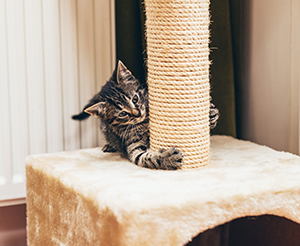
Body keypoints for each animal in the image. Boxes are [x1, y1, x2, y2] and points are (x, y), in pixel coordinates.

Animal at [72, 60, 219, 170]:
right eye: (122, 113)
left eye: (135, 99)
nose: (137, 113)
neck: (145, 121)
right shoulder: (133, 146)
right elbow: (146, 157)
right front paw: (167, 158)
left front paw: (211, 114)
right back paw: (109, 146)